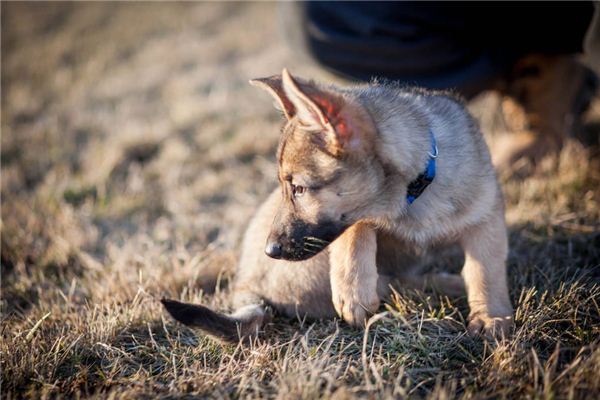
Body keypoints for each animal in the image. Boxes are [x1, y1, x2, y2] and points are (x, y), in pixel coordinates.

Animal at [162, 68, 512, 340]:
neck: (414, 194)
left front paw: (490, 317)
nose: (270, 251)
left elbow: (485, 269)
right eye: (288, 188)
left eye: (300, 189)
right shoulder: (354, 222)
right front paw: (352, 289)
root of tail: (246, 284)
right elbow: (356, 228)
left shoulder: (486, 216)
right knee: (395, 284)